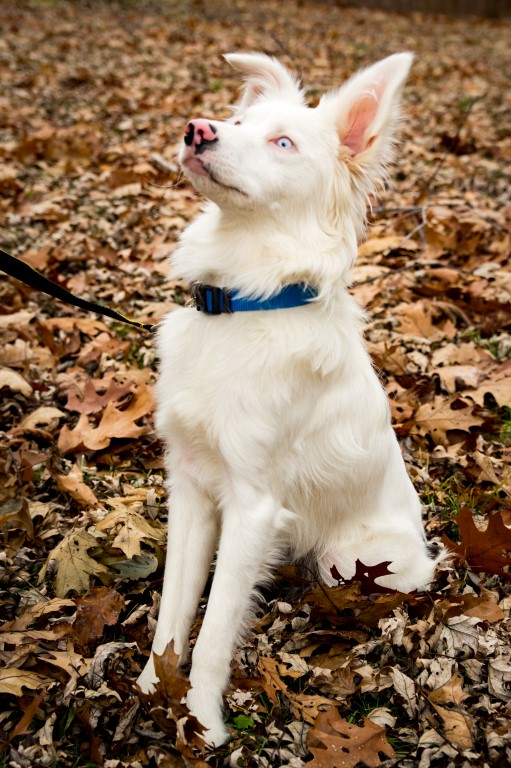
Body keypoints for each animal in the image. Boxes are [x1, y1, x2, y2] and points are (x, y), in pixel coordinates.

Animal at [137, 52, 442, 746]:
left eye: (283, 143)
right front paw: (144, 690)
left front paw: (201, 722)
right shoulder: (190, 487)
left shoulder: (251, 506)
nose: (198, 129)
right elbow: (173, 611)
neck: (241, 302)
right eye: (236, 122)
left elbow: (214, 632)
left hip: (350, 558)